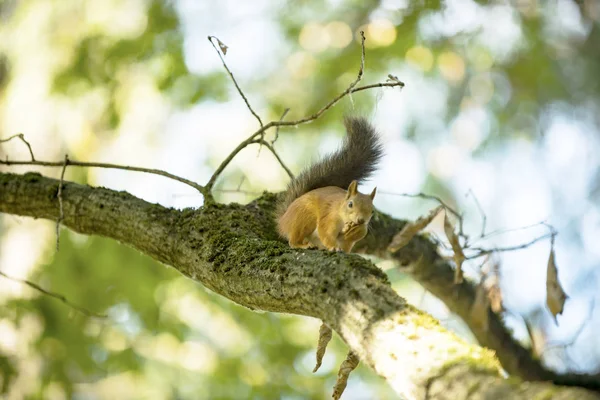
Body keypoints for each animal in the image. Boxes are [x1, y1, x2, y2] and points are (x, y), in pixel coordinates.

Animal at [276, 117, 384, 252]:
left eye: (372, 211)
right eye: (350, 204)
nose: (361, 220)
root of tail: (283, 220)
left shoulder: (363, 228)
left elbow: (359, 234)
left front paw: (351, 231)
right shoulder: (329, 217)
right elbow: (326, 232)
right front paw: (334, 246)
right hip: (303, 219)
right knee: (293, 240)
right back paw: (304, 245)